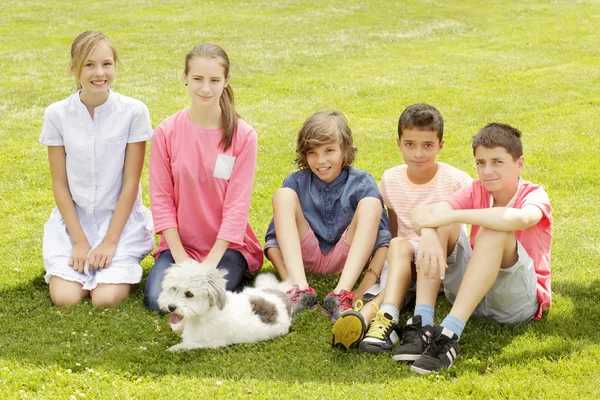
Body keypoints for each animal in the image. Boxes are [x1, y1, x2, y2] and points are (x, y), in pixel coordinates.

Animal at [158, 260, 292, 350]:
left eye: (189, 294)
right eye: (174, 288)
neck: (206, 312)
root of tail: (281, 297)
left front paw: (171, 349)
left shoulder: (206, 343)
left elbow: (183, 346)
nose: (171, 307)